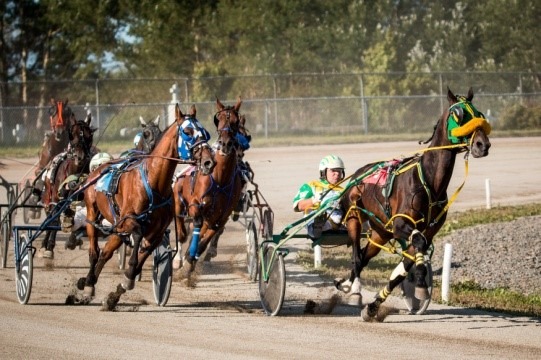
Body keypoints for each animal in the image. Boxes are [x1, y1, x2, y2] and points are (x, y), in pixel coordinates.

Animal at [38, 113, 96, 258]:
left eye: (89, 135)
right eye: (72, 134)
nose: (80, 157)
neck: (76, 171)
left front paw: (73, 239)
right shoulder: (57, 198)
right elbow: (55, 218)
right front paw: (49, 247)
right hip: (49, 194)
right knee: (51, 216)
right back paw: (45, 244)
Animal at [77, 104, 214, 310]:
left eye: (205, 132)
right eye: (188, 132)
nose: (208, 162)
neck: (154, 182)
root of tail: (99, 168)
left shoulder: (156, 232)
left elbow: (141, 258)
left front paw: (117, 292)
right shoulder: (129, 221)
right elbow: (137, 235)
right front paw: (129, 273)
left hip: (117, 227)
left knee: (106, 253)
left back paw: (91, 283)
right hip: (94, 214)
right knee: (94, 252)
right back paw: (87, 287)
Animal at [173, 97, 243, 274]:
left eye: (235, 121)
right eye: (219, 120)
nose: (225, 144)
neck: (220, 179)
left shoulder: (221, 216)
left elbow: (206, 238)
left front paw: (191, 259)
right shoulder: (195, 204)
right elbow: (195, 223)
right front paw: (186, 260)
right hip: (178, 200)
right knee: (181, 227)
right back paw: (177, 259)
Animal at [340, 88, 492, 320]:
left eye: (479, 113)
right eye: (458, 115)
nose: (482, 145)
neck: (428, 182)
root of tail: (359, 173)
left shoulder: (427, 231)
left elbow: (406, 264)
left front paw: (374, 305)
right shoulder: (401, 224)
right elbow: (417, 245)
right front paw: (420, 281)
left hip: (381, 232)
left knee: (364, 257)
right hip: (355, 217)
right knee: (357, 257)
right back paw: (353, 288)